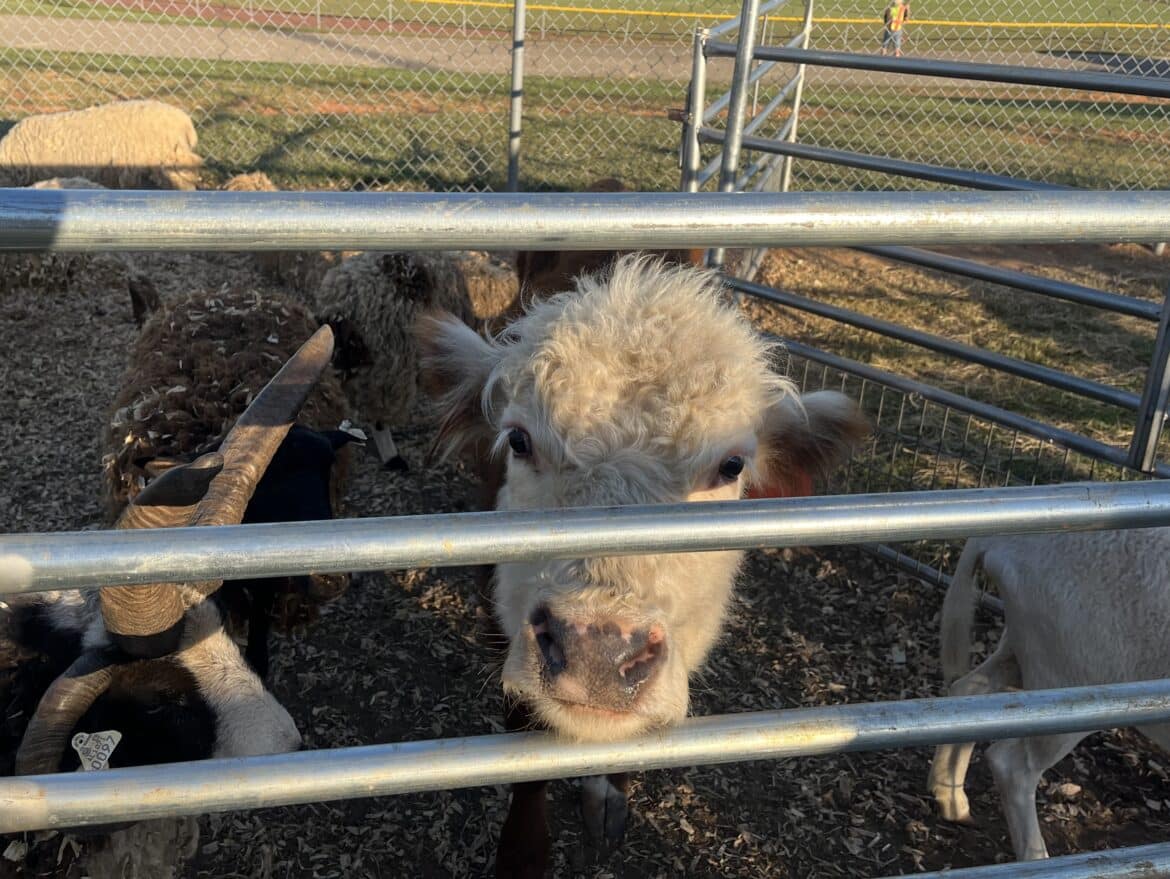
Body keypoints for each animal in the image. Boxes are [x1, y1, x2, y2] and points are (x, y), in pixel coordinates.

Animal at [928, 527, 1170, 860]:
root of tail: (997, 539)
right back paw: (1035, 857)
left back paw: (951, 798)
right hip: (1073, 674)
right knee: (1013, 765)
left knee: (969, 690)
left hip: (1030, 643)